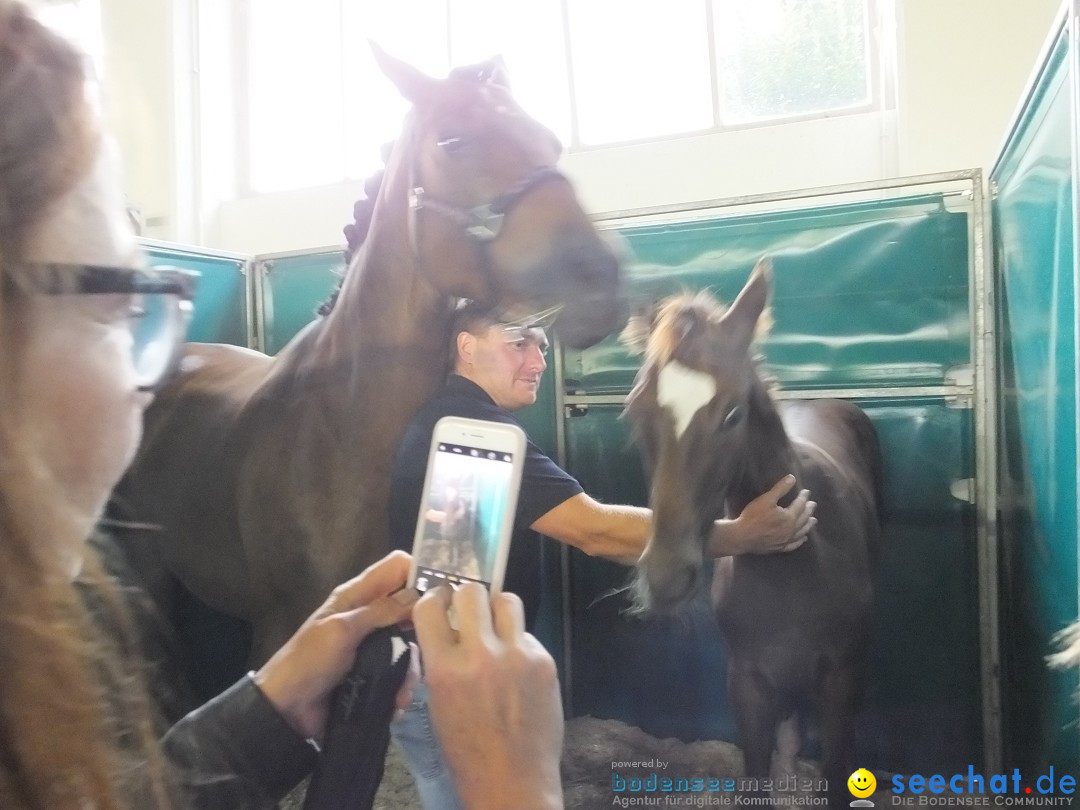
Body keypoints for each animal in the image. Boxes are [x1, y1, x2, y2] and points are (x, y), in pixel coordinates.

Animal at [622, 258, 881, 807]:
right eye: (636, 410)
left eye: (733, 414)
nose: (666, 577)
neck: (799, 561)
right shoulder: (747, 686)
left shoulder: (842, 682)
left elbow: (837, 777)